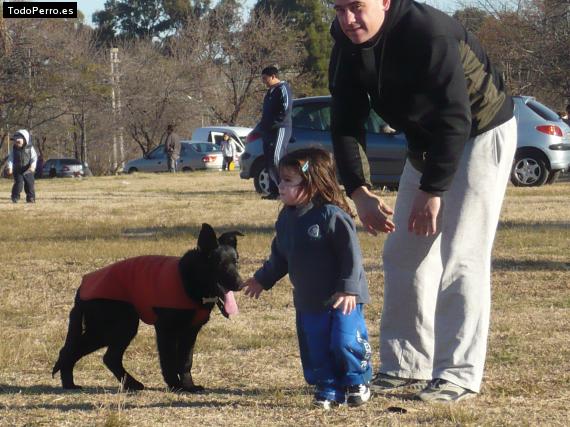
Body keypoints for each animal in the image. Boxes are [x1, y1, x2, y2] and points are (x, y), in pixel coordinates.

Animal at [50, 226, 242, 392]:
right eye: (220, 264)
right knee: (73, 351)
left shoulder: (191, 331)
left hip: (117, 329)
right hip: (114, 328)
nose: (240, 285)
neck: (190, 279)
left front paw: (189, 386)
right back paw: (70, 384)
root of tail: (81, 288)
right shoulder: (165, 330)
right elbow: (168, 361)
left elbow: (186, 361)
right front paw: (175, 385)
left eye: (236, 262)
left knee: (108, 357)